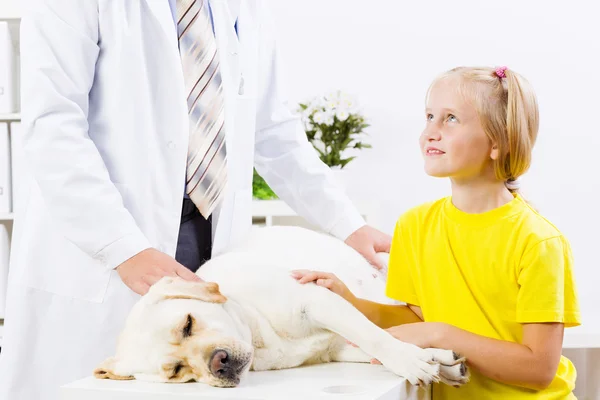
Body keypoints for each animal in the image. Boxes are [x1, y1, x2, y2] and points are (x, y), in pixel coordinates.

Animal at [94, 228, 468, 388]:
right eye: (175, 371)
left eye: (187, 324)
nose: (218, 363)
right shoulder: (337, 348)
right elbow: (381, 343)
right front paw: (436, 360)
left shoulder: (317, 300)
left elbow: (378, 338)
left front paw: (415, 361)